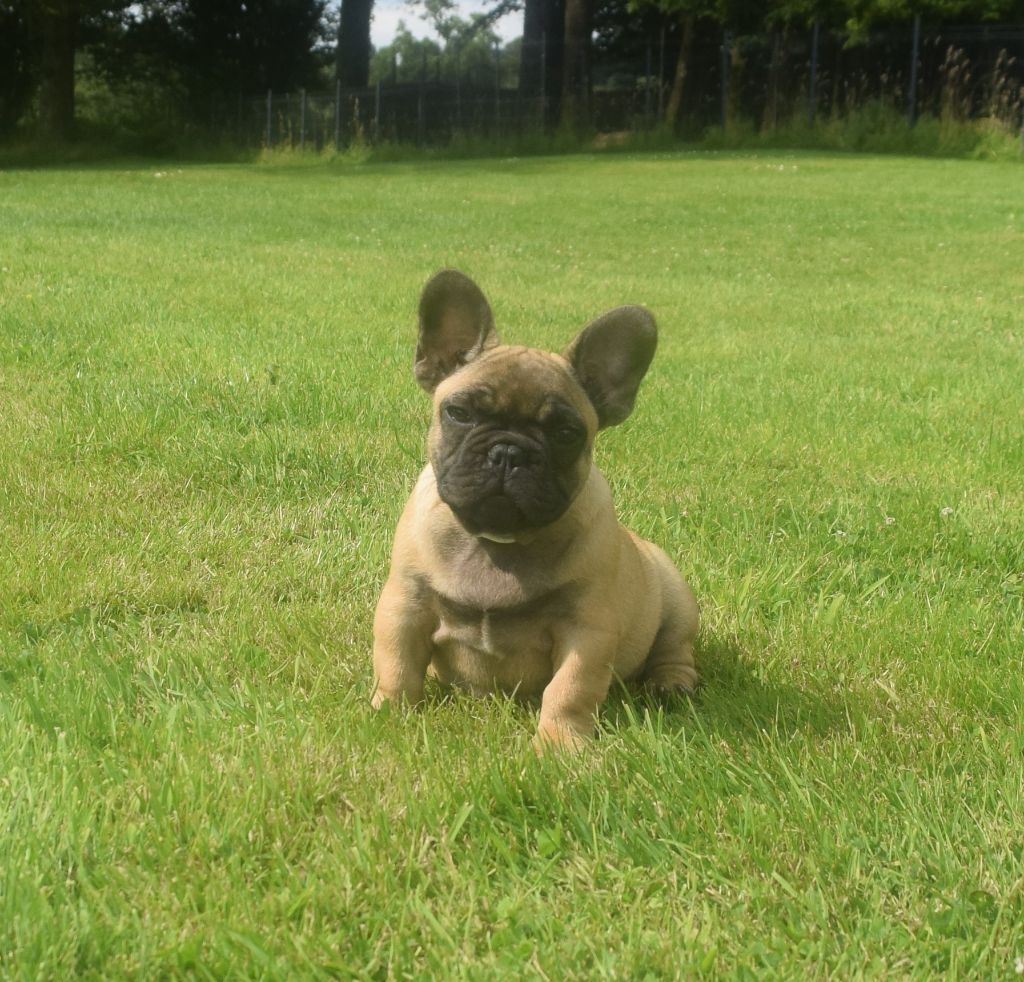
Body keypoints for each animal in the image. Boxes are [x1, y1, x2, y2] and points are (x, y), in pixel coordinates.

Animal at [372, 269, 698, 749]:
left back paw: (671, 685)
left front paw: (560, 745)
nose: (509, 452)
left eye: (566, 433)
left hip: (676, 600)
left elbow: (570, 688)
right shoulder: (405, 606)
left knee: (675, 649)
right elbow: (396, 663)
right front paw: (390, 715)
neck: (496, 542)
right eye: (459, 412)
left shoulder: (587, 632)